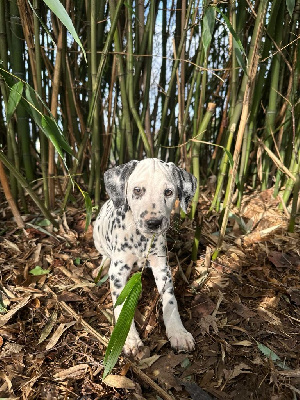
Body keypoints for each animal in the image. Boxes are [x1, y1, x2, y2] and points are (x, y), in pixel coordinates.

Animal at [94, 158, 197, 354]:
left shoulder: (162, 268)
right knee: (104, 256)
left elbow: (170, 301)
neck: (141, 238)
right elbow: (121, 305)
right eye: (137, 190)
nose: (154, 223)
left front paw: (178, 333)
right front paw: (128, 339)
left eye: (168, 192)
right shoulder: (118, 272)